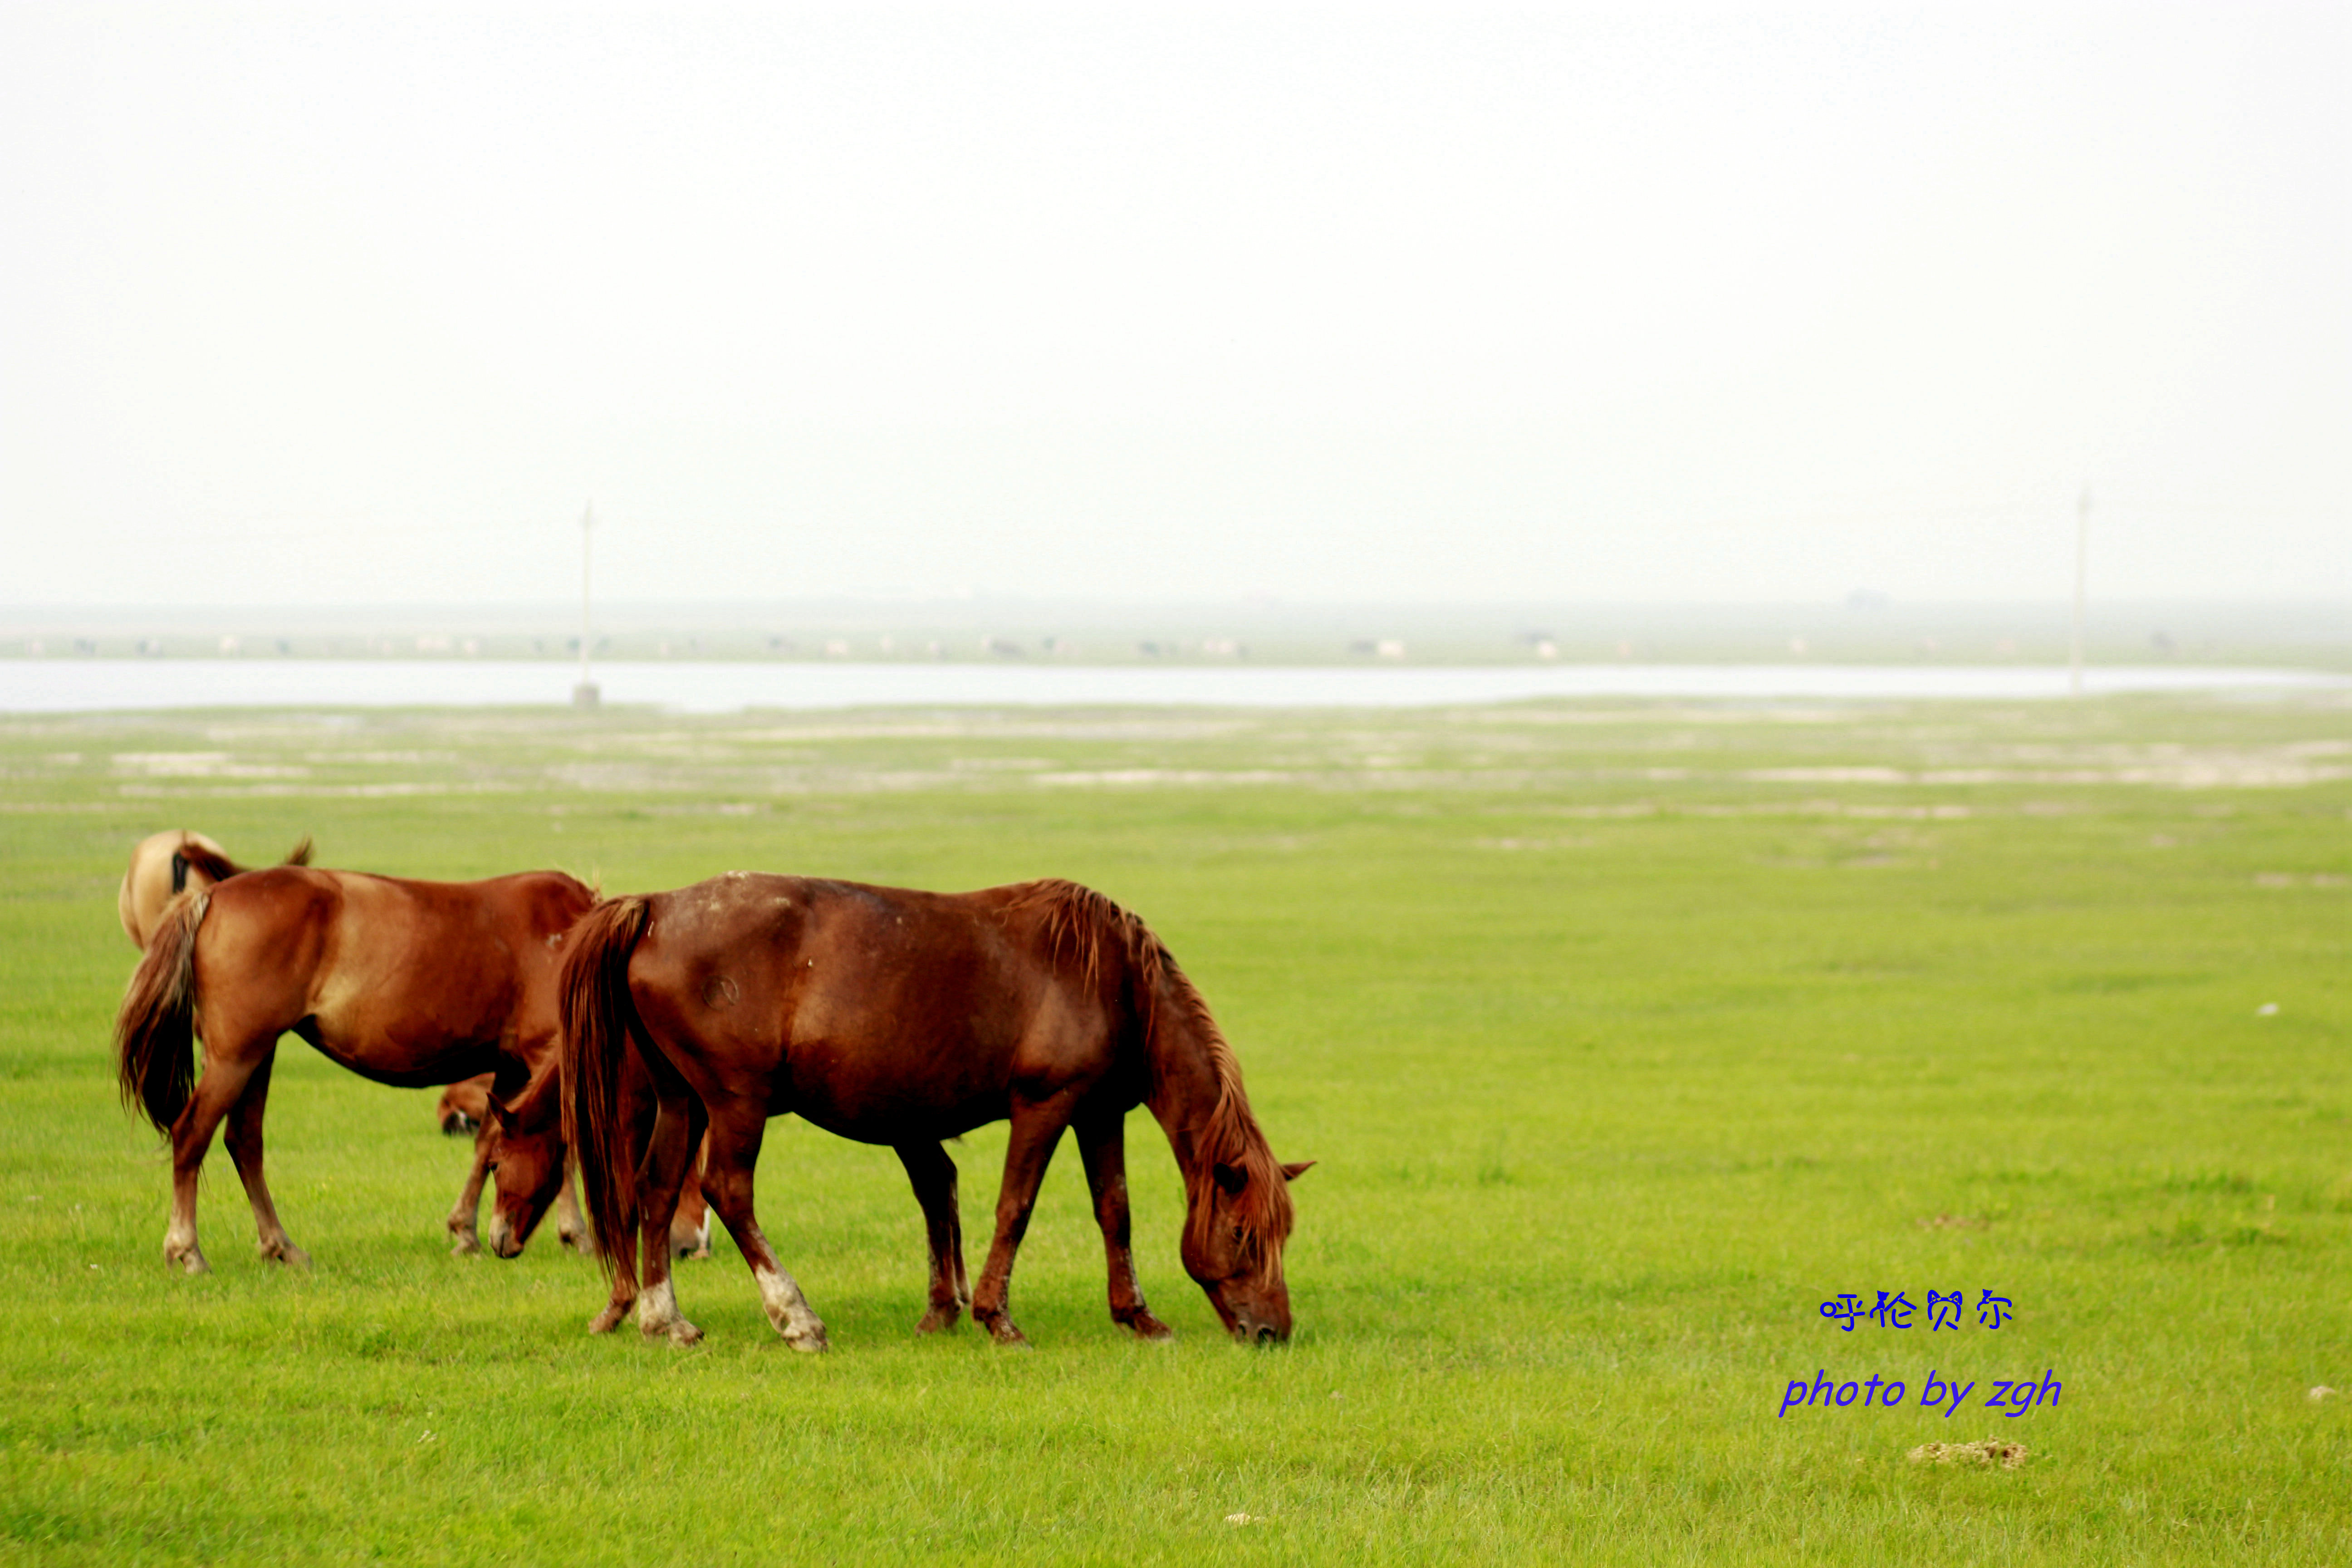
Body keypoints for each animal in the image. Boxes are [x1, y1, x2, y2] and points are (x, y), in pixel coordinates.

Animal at [118, 870, 597, 1279]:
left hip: (257, 1056)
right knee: (192, 1135)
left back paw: (280, 1245)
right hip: (236, 1058)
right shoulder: (539, 1055)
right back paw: (188, 1249)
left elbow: (486, 1144)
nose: (505, 1238)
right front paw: (576, 1232)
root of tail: (212, 896)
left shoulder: (512, 1066)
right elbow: (564, 1150)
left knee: (245, 1142)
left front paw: (466, 1230)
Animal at [562, 879, 1317, 1354]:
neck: (1114, 978)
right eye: (1245, 1237)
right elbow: (1015, 1208)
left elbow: (1115, 1211)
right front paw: (997, 1319)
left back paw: (667, 1321)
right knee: (728, 1191)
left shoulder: (1100, 1111)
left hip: (682, 1100)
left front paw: (1138, 1317)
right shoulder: (1045, 1106)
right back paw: (797, 1320)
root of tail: (655, 909)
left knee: (658, 1191)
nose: (1272, 1332)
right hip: (735, 1101)